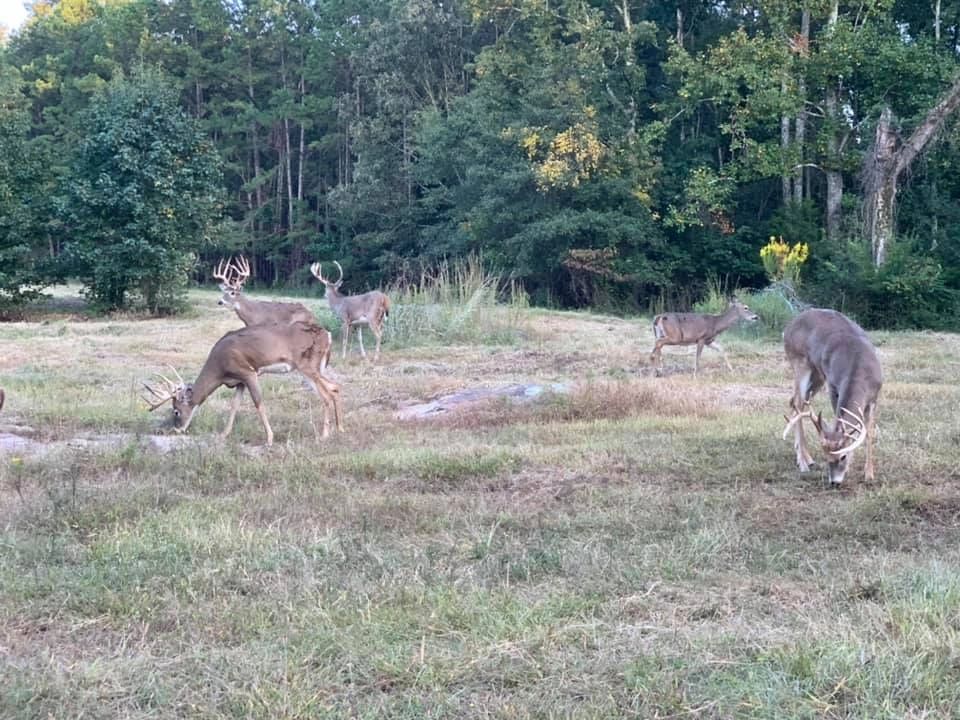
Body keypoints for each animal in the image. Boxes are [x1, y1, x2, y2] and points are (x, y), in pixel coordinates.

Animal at [142, 321, 342, 447]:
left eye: (175, 410)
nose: (177, 429)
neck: (220, 369)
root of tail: (328, 335)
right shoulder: (239, 381)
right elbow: (234, 405)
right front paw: (223, 434)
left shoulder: (248, 372)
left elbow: (258, 403)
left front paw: (269, 439)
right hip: (316, 368)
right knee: (335, 387)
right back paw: (339, 428)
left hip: (306, 365)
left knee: (327, 394)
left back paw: (324, 436)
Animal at [781, 308, 882, 485]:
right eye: (826, 457)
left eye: (843, 456)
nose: (834, 482)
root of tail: (788, 326)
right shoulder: (834, 387)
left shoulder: (874, 397)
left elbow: (868, 432)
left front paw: (869, 474)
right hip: (799, 361)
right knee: (798, 403)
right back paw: (803, 462)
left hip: (817, 375)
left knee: (795, 402)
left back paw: (806, 458)